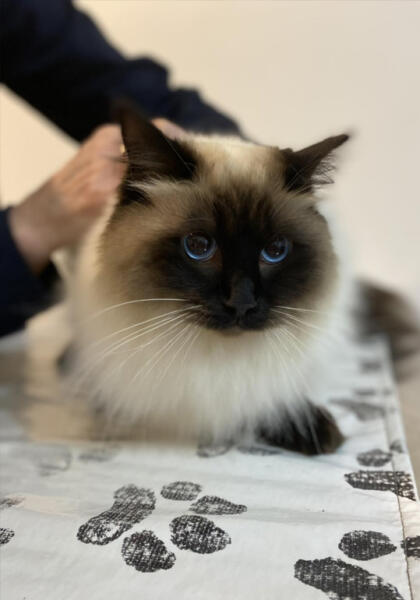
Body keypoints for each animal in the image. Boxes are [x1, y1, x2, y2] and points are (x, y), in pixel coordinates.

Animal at [69, 105, 352, 454]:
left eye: (275, 251)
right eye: (199, 247)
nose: (241, 302)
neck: (216, 358)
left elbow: (268, 404)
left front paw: (313, 430)